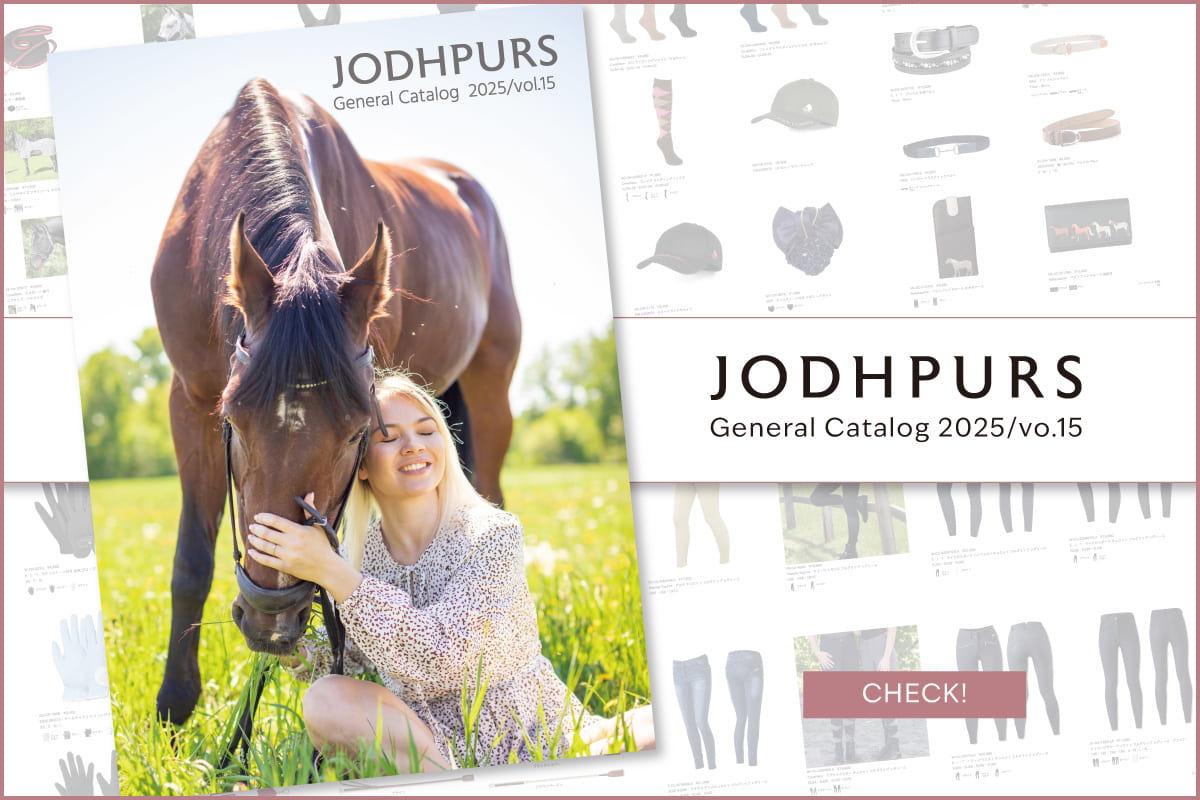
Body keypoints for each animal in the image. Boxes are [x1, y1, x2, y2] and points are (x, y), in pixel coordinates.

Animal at [149, 78, 520, 727]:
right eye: (234, 421)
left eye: (357, 433)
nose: (271, 620)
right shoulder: (189, 398)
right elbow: (191, 561)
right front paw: (175, 708)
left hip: (491, 386)